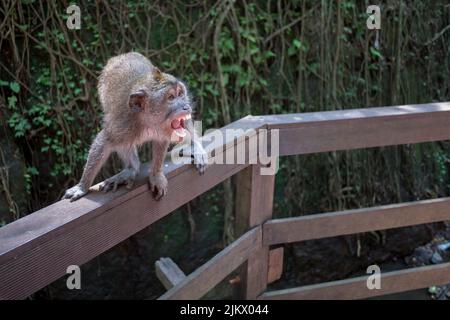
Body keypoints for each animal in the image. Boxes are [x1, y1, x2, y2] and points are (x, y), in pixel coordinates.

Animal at [62, 52, 208, 202]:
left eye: (180, 94)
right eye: (171, 97)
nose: (186, 106)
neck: (147, 121)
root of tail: (122, 55)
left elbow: (161, 141)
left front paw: (156, 174)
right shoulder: (122, 125)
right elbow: (104, 140)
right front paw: (82, 186)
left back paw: (195, 147)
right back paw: (131, 169)